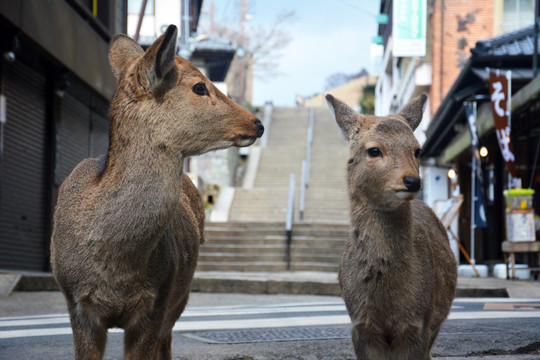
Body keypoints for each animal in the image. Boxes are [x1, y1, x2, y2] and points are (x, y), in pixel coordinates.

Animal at [50, 26, 264, 360]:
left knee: (168, 340)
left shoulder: (157, 302)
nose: (257, 123)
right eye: (200, 87)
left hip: (181, 294)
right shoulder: (75, 301)